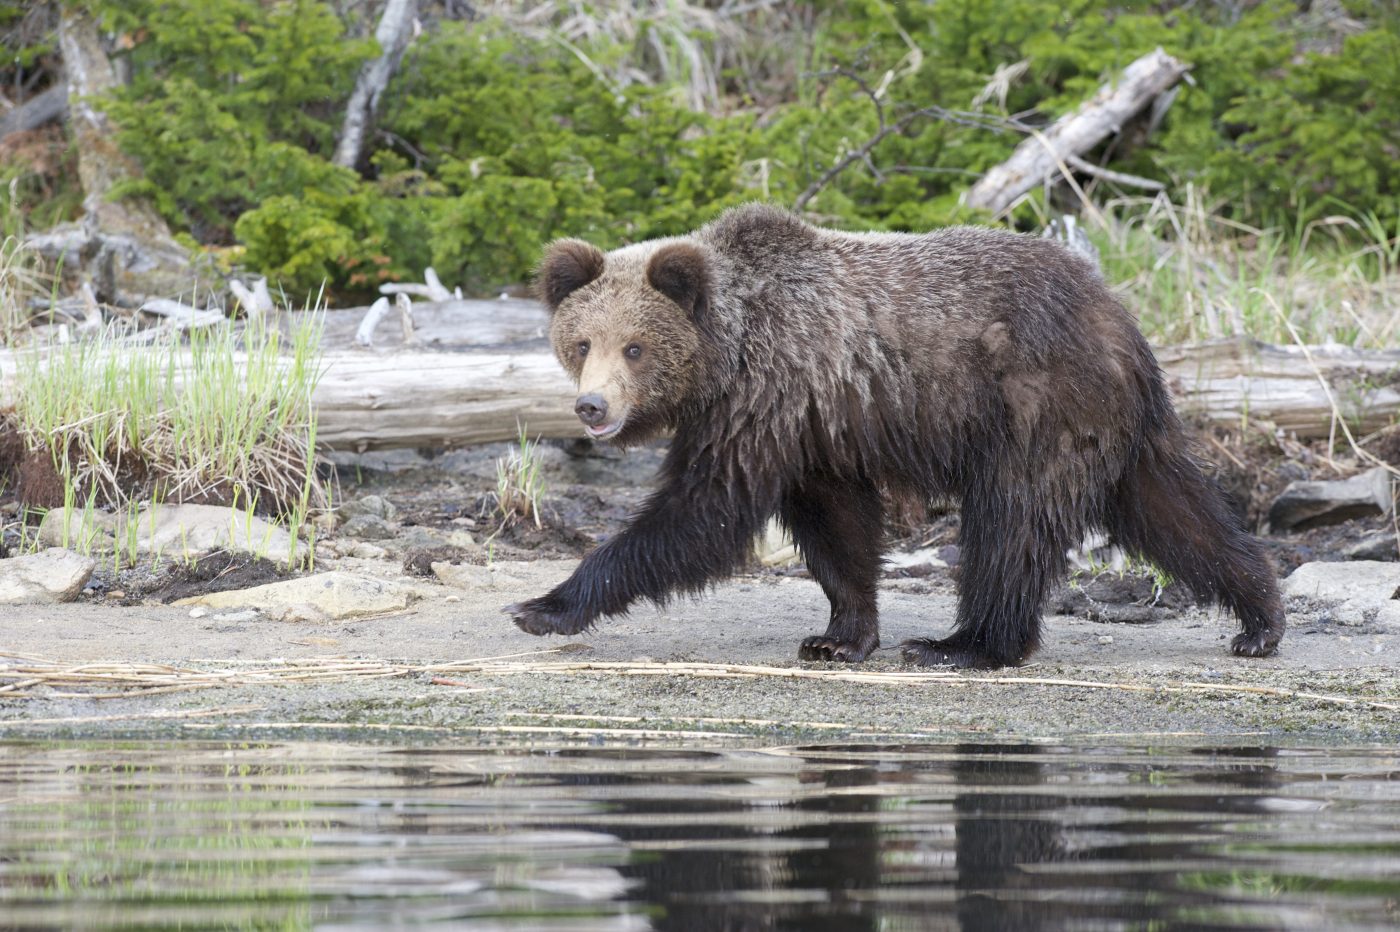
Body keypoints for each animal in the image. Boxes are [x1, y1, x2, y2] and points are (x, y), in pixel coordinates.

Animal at [509, 202, 1282, 668]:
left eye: (636, 347)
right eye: (581, 342)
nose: (592, 406)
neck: (728, 356)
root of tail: (1122, 317)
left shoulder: (765, 401)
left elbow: (702, 513)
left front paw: (544, 605)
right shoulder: (814, 427)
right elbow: (838, 529)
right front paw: (838, 636)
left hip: (1033, 405)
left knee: (1012, 523)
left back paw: (963, 643)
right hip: (1112, 426)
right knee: (1171, 509)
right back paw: (1260, 618)